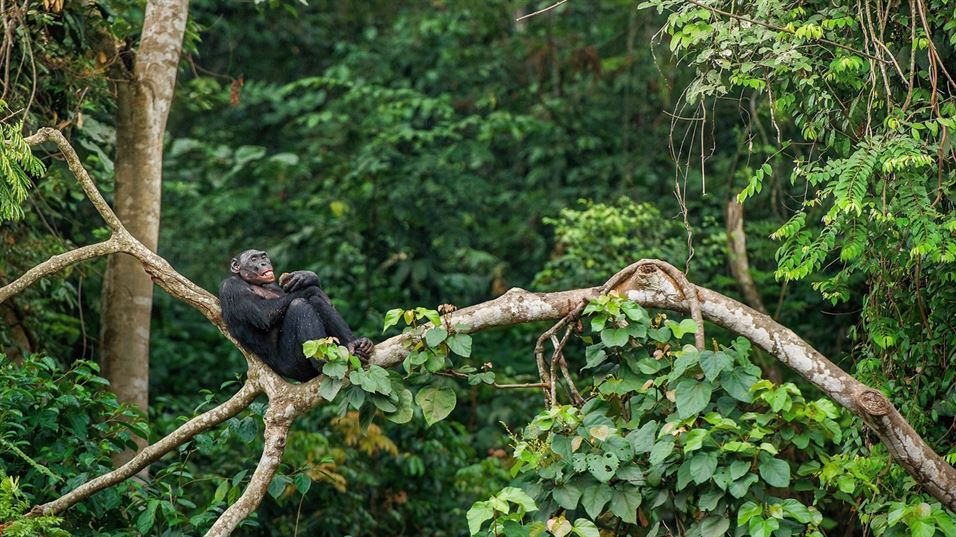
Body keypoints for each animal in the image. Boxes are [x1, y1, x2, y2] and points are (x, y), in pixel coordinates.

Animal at [220, 248, 374, 382]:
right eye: (253, 259)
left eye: (263, 257)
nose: (264, 263)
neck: (251, 282)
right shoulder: (231, 287)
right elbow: (263, 313)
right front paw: (311, 287)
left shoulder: (273, 285)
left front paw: (306, 277)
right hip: (294, 366)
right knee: (299, 305)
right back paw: (324, 361)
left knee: (315, 301)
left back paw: (356, 345)